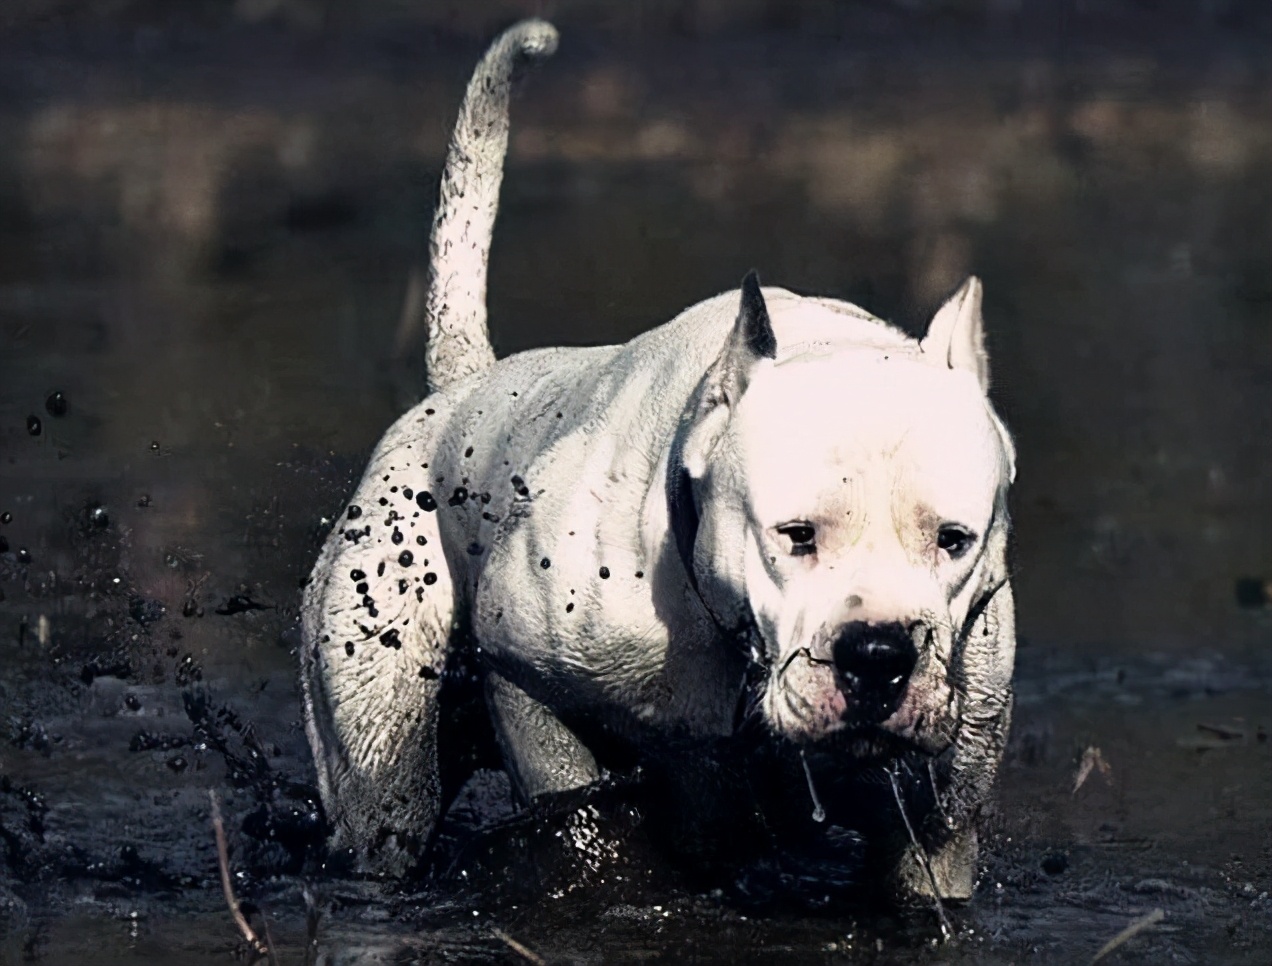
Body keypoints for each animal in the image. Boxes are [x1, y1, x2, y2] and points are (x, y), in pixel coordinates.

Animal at [297, 18, 1012, 901]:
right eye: (795, 535)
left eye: (953, 539)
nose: (877, 654)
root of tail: (463, 386)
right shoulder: (526, 674)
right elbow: (563, 776)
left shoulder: (934, 837)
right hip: (381, 752)